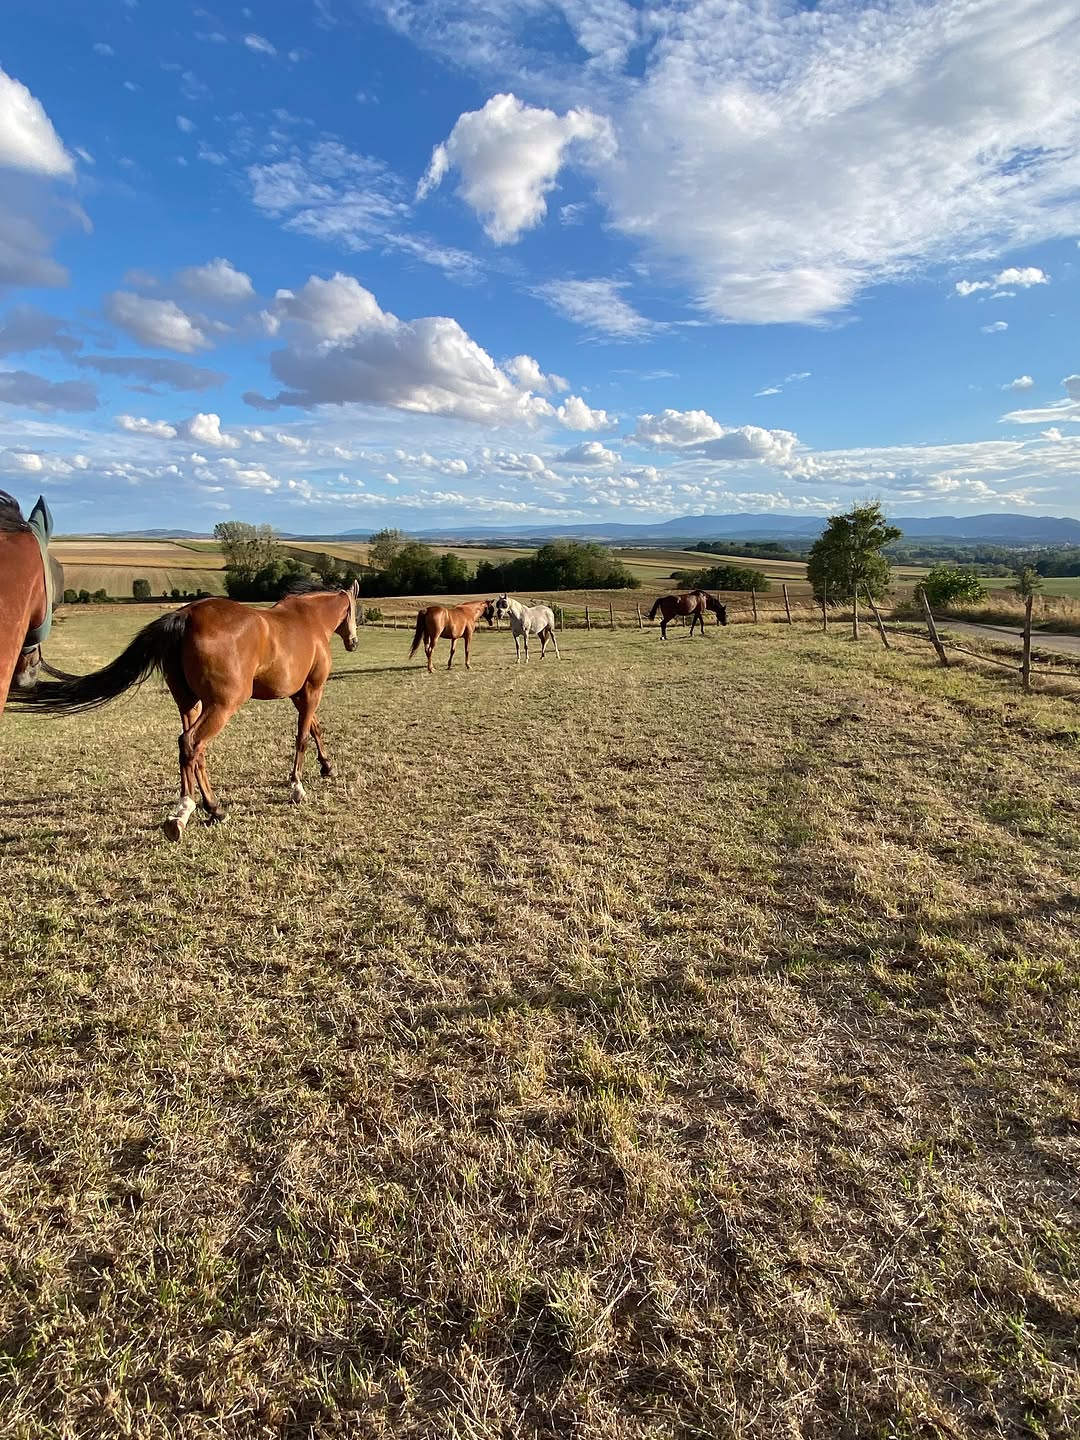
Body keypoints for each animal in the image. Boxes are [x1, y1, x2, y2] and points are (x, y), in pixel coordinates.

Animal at [10, 581, 360, 841]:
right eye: (354, 609)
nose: (354, 642)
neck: (310, 620)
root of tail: (187, 616)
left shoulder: (299, 695)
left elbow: (314, 728)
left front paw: (327, 766)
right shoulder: (311, 690)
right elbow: (302, 736)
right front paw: (297, 787)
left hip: (190, 703)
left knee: (191, 749)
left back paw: (205, 808)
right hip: (221, 705)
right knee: (192, 743)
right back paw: (191, 811)